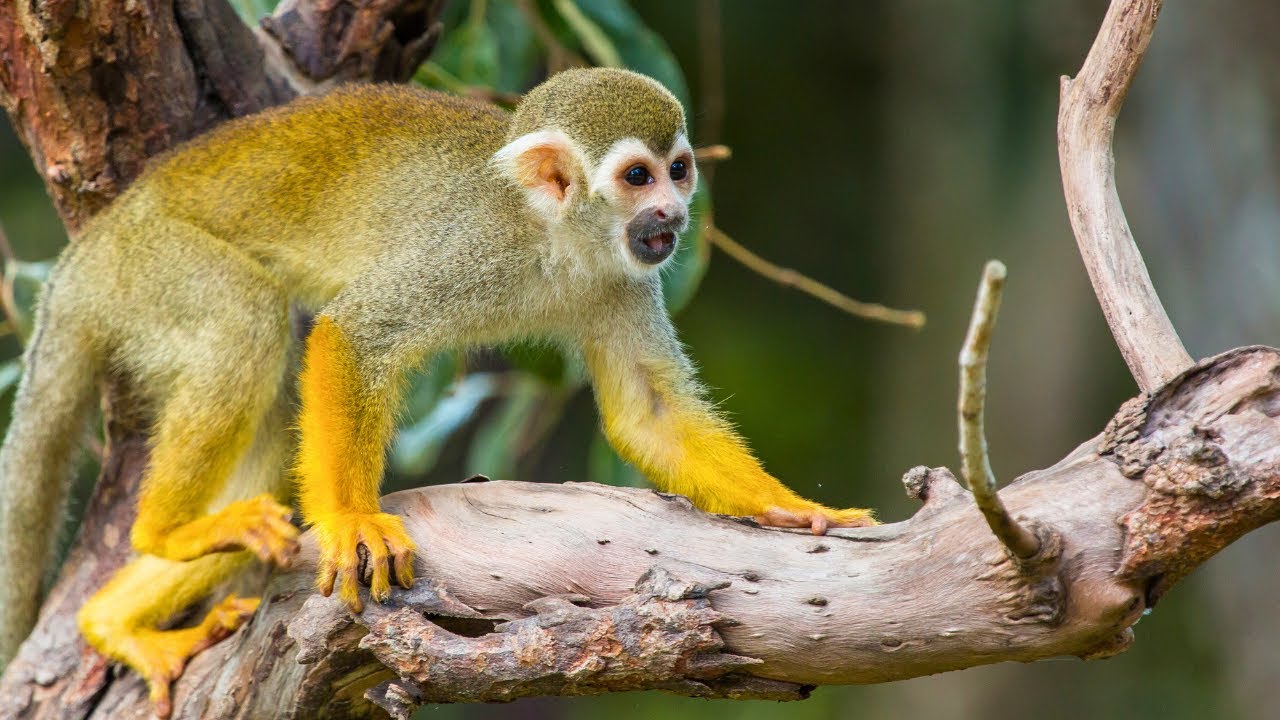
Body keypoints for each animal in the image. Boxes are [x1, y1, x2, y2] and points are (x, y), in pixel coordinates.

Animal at [0, 67, 873, 715]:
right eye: (637, 176)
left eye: (680, 169)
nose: (673, 213)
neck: (552, 238)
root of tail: (87, 252)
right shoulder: (472, 250)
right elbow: (356, 334)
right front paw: (354, 521)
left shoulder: (624, 278)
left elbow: (647, 413)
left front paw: (791, 508)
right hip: (153, 270)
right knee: (244, 323)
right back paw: (167, 531)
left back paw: (110, 619)